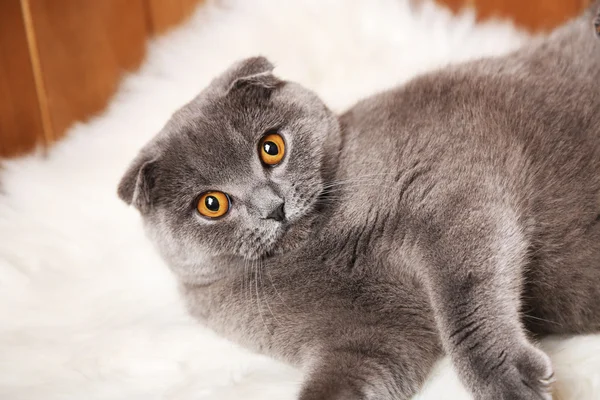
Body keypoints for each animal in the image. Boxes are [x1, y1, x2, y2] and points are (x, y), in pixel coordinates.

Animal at [117, 5, 600, 400]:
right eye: (212, 204)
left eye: (271, 148)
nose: (273, 207)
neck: (319, 248)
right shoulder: (366, 340)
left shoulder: (449, 190)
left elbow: (462, 297)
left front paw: (509, 382)